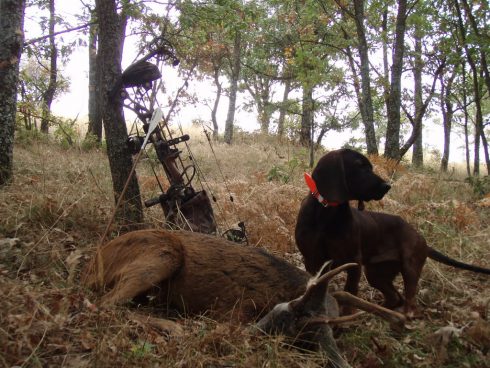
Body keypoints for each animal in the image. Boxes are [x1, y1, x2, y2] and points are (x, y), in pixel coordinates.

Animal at [84, 229, 406, 366]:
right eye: (294, 327)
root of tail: (95, 260)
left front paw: (401, 321)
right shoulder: (231, 311)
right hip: (162, 254)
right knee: (103, 305)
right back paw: (174, 327)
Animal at [294, 149, 490, 316]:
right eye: (359, 166)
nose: (387, 186)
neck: (326, 213)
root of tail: (421, 238)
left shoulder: (353, 262)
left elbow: (349, 294)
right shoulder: (312, 260)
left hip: (410, 268)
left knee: (409, 303)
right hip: (376, 274)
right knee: (395, 297)